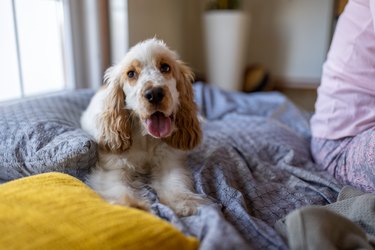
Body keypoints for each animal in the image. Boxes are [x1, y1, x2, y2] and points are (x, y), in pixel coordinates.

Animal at [81, 38, 209, 216]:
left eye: (165, 67)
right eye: (131, 74)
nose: (154, 93)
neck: (146, 138)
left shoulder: (168, 160)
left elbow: (174, 183)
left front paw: (184, 202)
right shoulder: (114, 166)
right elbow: (119, 187)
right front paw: (133, 206)